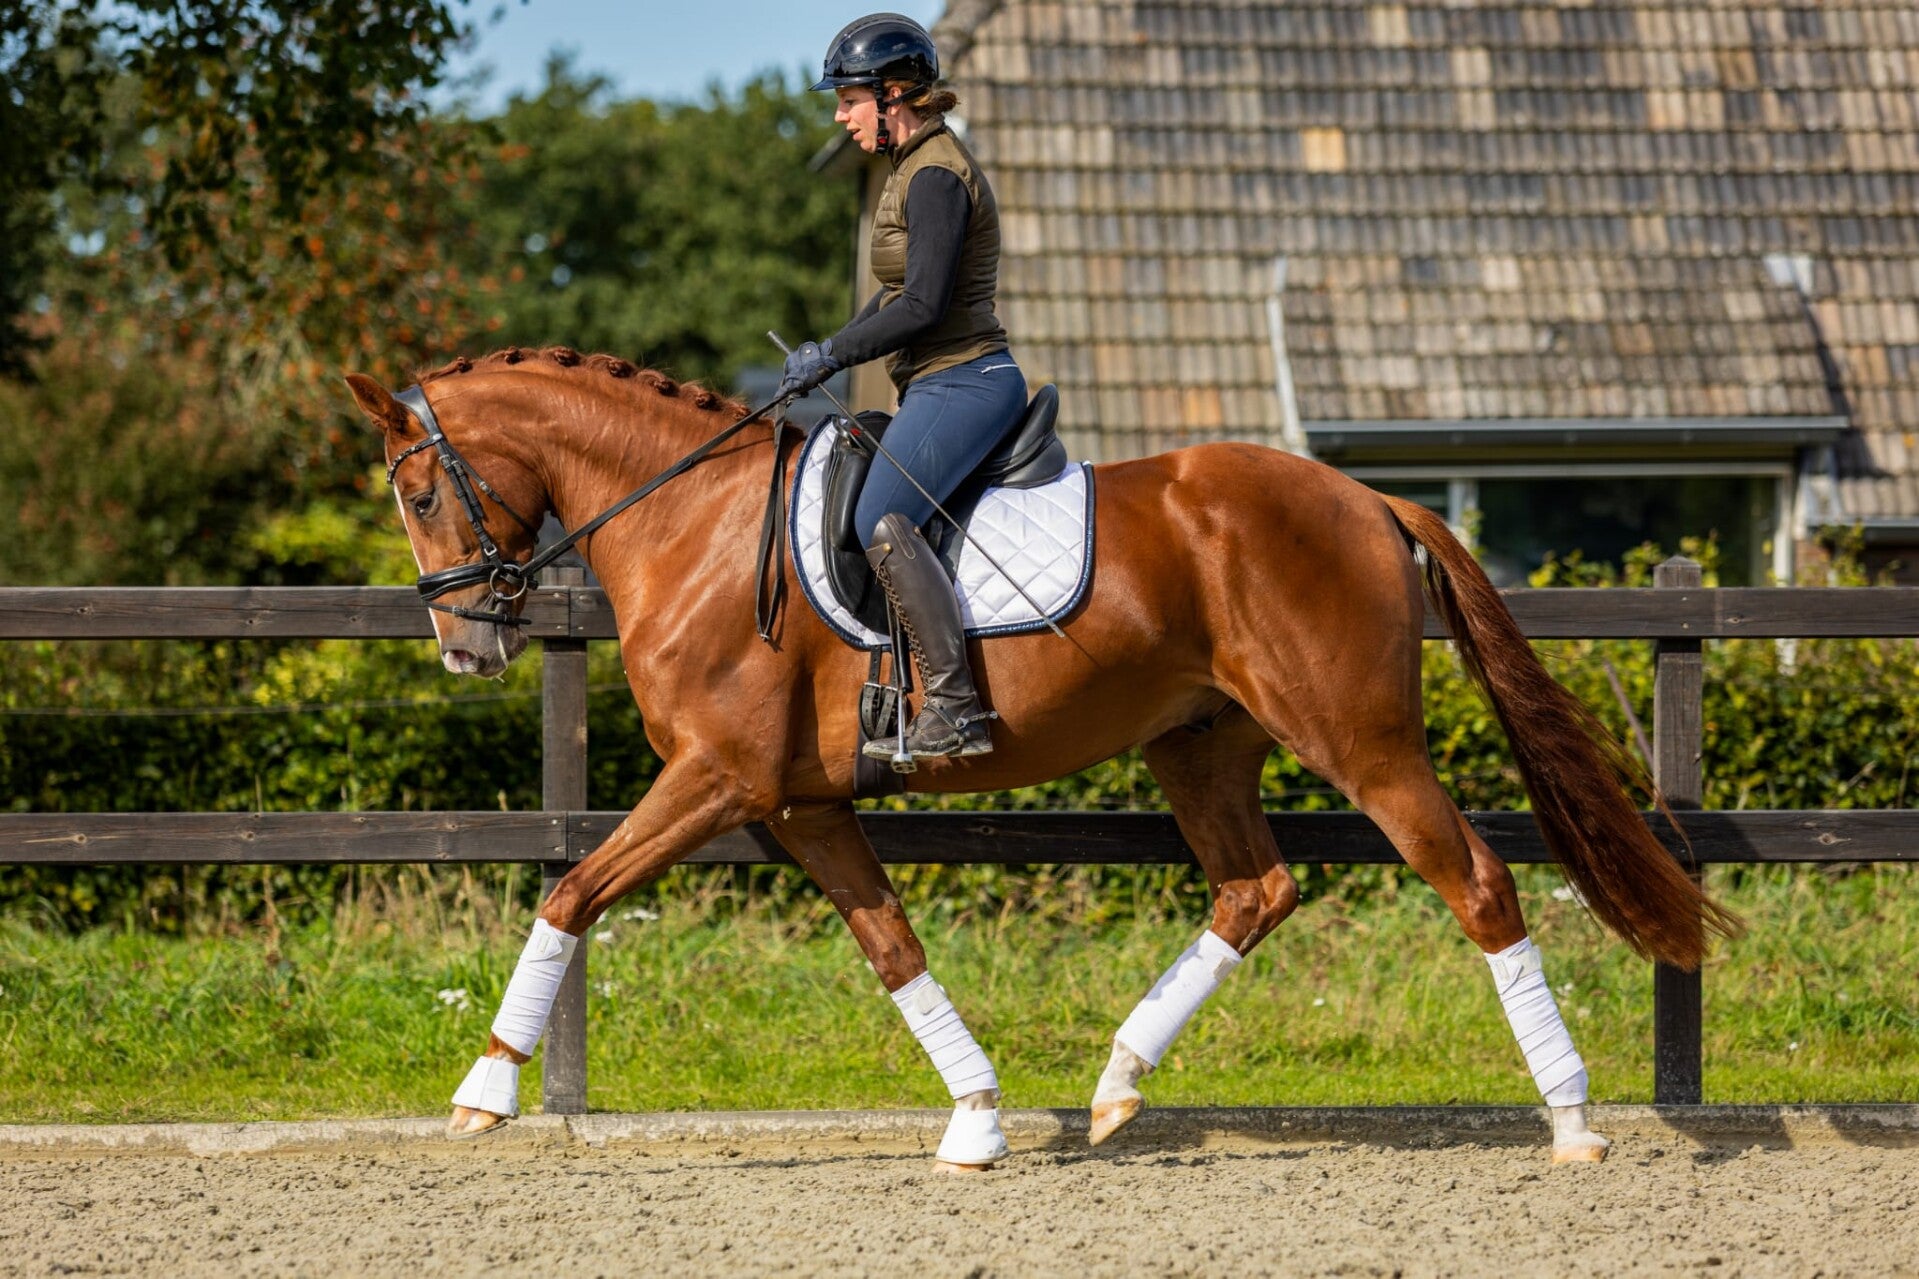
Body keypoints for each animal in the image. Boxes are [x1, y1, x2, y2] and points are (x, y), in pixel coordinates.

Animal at [345, 346, 1737, 1169]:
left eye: (418, 493)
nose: (465, 647)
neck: (691, 521)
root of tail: (1365, 496)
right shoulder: (797, 803)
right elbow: (890, 943)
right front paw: (975, 1118)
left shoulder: (718, 779)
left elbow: (571, 888)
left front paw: (484, 1089)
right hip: (1198, 743)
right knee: (1255, 889)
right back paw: (1117, 1084)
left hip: (1359, 740)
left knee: (1477, 886)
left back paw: (1570, 1119)